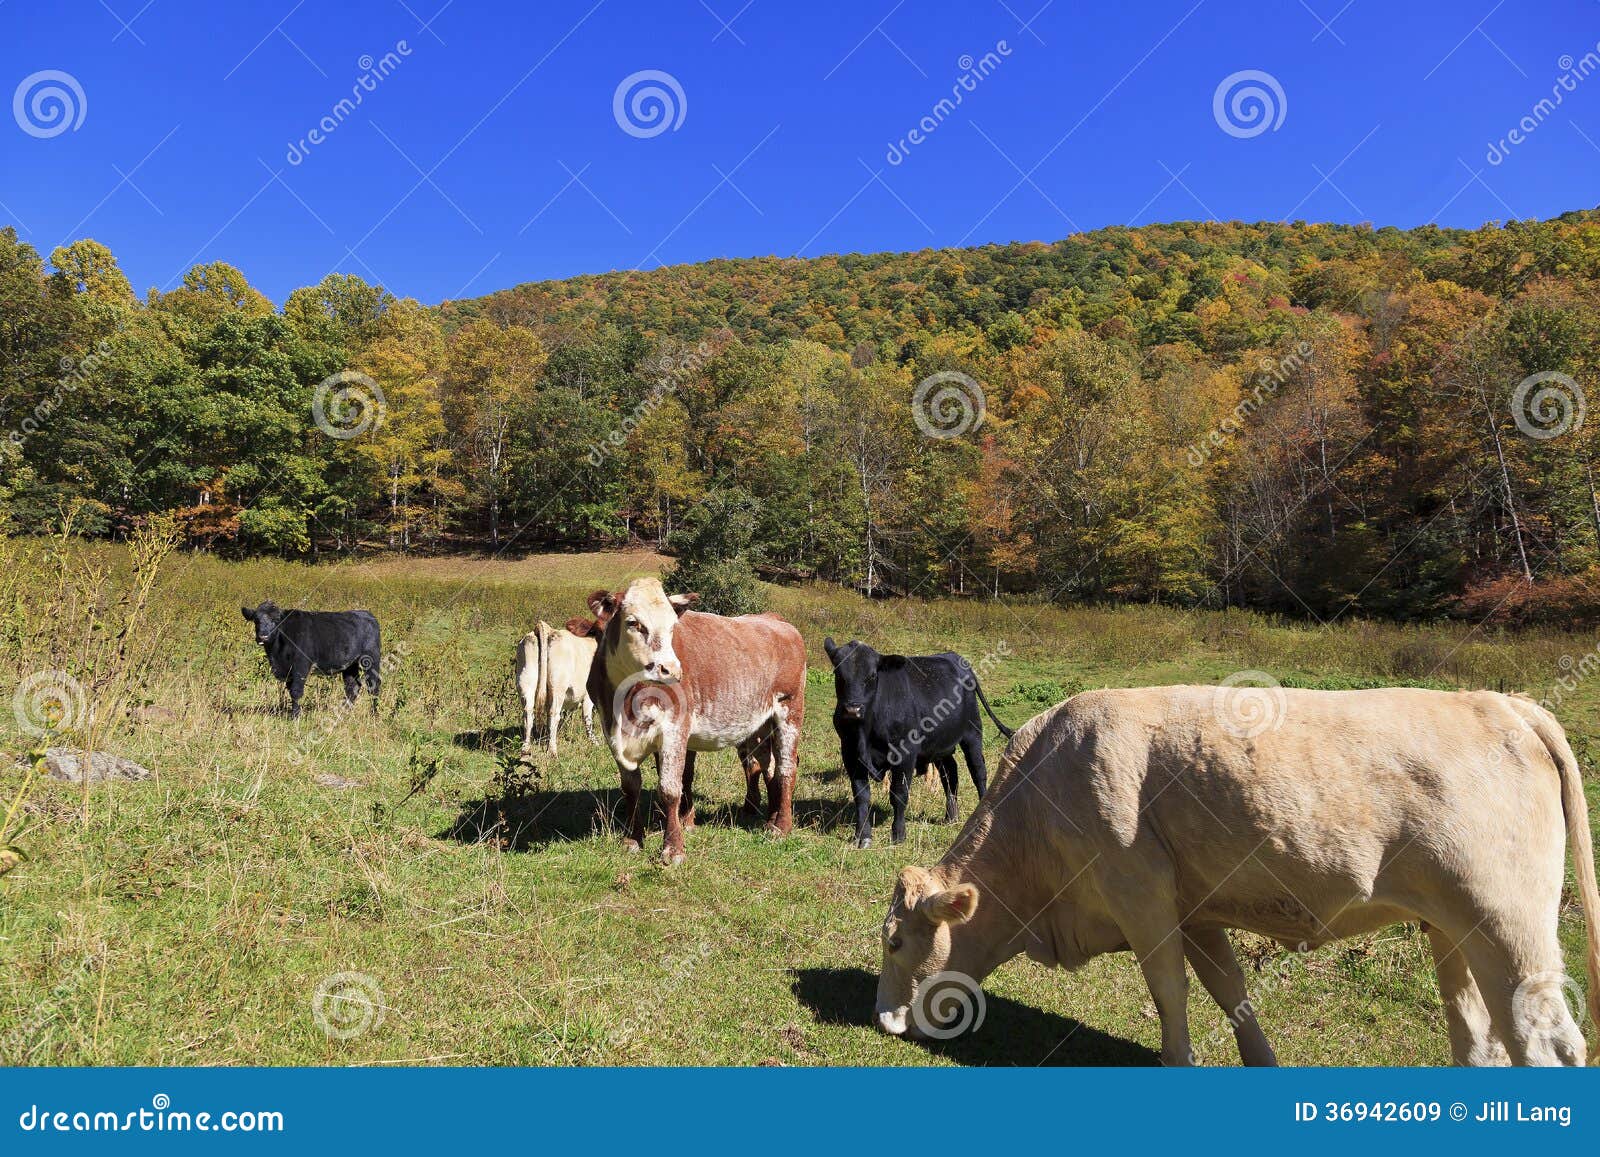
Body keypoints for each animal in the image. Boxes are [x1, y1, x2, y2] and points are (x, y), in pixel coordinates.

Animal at [240, 601, 381, 719]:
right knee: (352, 686)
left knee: (373, 685)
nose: (263, 636)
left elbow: (296, 691)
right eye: (256, 620)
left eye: (276, 620)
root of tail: (365, 613)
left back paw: (374, 714)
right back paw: (344, 712)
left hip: (371, 658)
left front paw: (295, 716)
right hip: (350, 665)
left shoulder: (301, 666)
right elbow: (290, 691)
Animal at [515, 618, 599, 755]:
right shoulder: (589, 695)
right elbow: (587, 718)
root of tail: (549, 630)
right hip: (557, 687)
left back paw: (526, 748)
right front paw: (594, 742)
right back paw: (552, 750)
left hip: (526, 681)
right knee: (554, 714)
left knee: (528, 713)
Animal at [586, 577, 806, 865]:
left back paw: (782, 826)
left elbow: (670, 788)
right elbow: (631, 787)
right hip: (759, 725)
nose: (670, 669)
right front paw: (633, 839)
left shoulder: (674, 729)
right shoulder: (611, 731)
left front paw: (673, 848)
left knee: (786, 768)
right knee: (767, 766)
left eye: (672, 627)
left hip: (790, 709)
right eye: (633, 623)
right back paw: (771, 817)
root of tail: (775, 620)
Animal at [823, 638, 1013, 849]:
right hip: (940, 745)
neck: (866, 729)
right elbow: (861, 795)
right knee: (950, 773)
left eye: (872, 675)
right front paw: (862, 836)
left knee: (978, 772)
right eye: (838, 673)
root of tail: (954, 657)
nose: (852, 709)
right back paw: (951, 816)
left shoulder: (905, 754)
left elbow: (899, 794)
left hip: (973, 734)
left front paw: (898, 834)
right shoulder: (849, 753)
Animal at [874, 686, 1600, 1067]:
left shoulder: (1140, 896)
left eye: (896, 940)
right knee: (1478, 1035)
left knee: (1548, 1042)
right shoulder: (1194, 910)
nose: (884, 1018)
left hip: (1508, 924)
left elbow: (1169, 990)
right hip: (1453, 928)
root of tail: (1503, 703)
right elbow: (1229, 989)